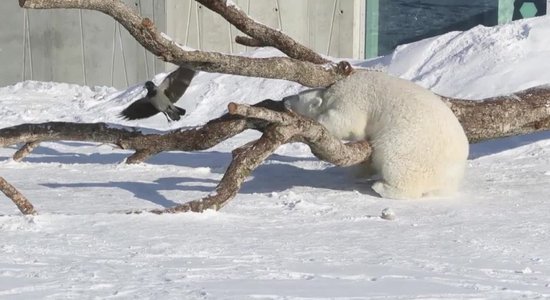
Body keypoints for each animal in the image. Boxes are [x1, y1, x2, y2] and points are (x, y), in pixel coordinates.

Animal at [284, 70, 470, 199]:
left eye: (297, 97)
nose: (285, 100)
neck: (331, 92)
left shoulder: (352, 99)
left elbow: (346, 122)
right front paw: (358, 172)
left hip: (411, 148)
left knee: (398, 165)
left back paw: (381, 187)